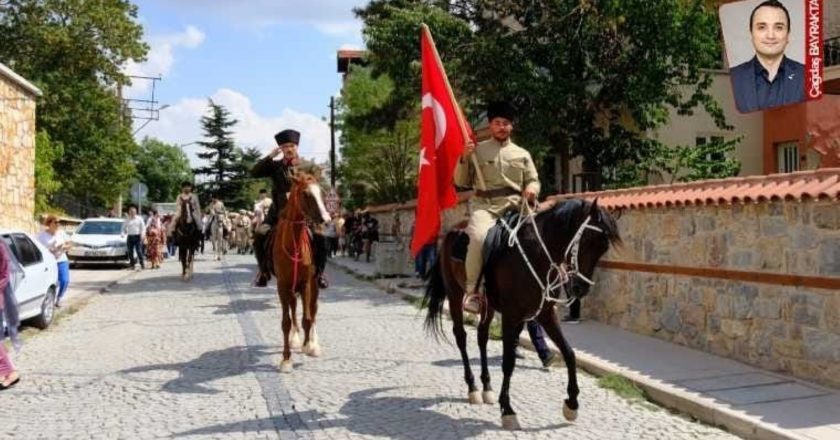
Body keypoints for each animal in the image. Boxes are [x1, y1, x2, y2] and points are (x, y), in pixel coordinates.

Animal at [272, 171, 332, 372]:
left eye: (321, 193)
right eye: (306, 194)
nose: (327, 220)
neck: (294, 244)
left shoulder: (306, 283)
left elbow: (307, 317)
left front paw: (308, 346)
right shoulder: (283, 286)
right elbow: (286, 322)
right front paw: (286, 359)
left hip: (314, 285)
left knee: (313, 311)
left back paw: (313, 343)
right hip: (292, 289)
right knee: (293, 310)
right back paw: (295, 338)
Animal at [424, 199, 620, 430]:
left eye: (603, 247)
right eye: (588, 241)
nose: (580, 288)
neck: (537, 256)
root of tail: (452, 232)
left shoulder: (545, 314)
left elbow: (569, 353)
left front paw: (571, 404)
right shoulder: (511, 316)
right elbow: (508, 362)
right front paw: (507, 410)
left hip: (488, 305)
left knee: (482, 336)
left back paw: (487, 387)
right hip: (455, 295)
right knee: (461, 336)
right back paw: (473, 388)